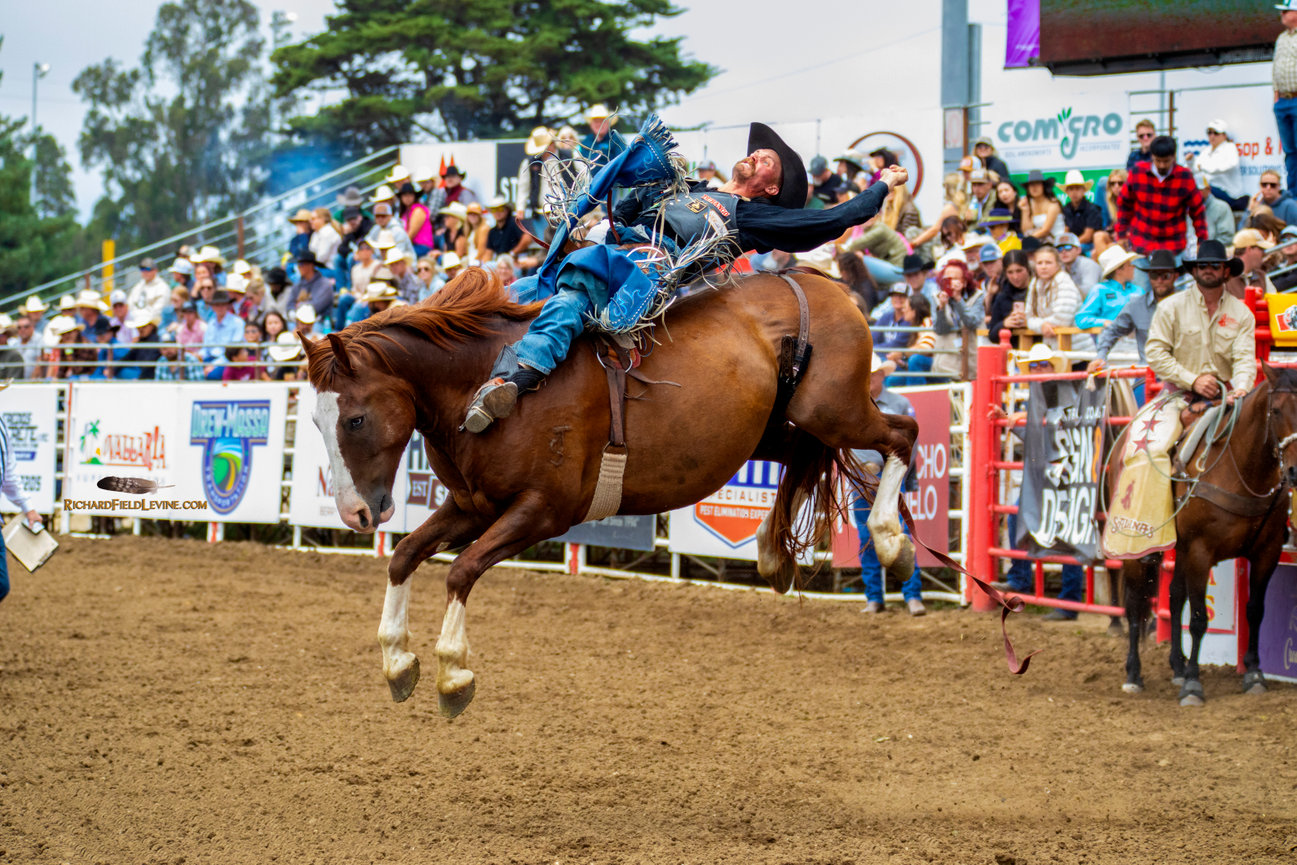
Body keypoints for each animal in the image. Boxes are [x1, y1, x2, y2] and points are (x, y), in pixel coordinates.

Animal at [301, 268, 919, 717]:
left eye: (355, 419)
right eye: (314, 421)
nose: (355, 513)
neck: (487, 381)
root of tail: (819, 282)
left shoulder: (543, 511)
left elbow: (461, 570)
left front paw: (453, 673)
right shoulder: (472, 506)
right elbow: (405, 554)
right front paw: (397, 661)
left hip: (834, 409)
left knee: (902, 434)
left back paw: (891, 540)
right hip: (774, 427)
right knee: (801, 457)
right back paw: (771, 551)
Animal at [1120, 363, 1297, 705]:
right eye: (1276, 410)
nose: (1296, 470)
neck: (1242, 469)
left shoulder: (1266, 552)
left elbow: (1255, 610)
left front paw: (1254, 673)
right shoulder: (1201, 552)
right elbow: (1200, 618)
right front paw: (1193, 683)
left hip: (1181, 550)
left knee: (1174, 597)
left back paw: (1176, 666)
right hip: (1137, 549)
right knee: (1135, 603)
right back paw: (1134, 674)